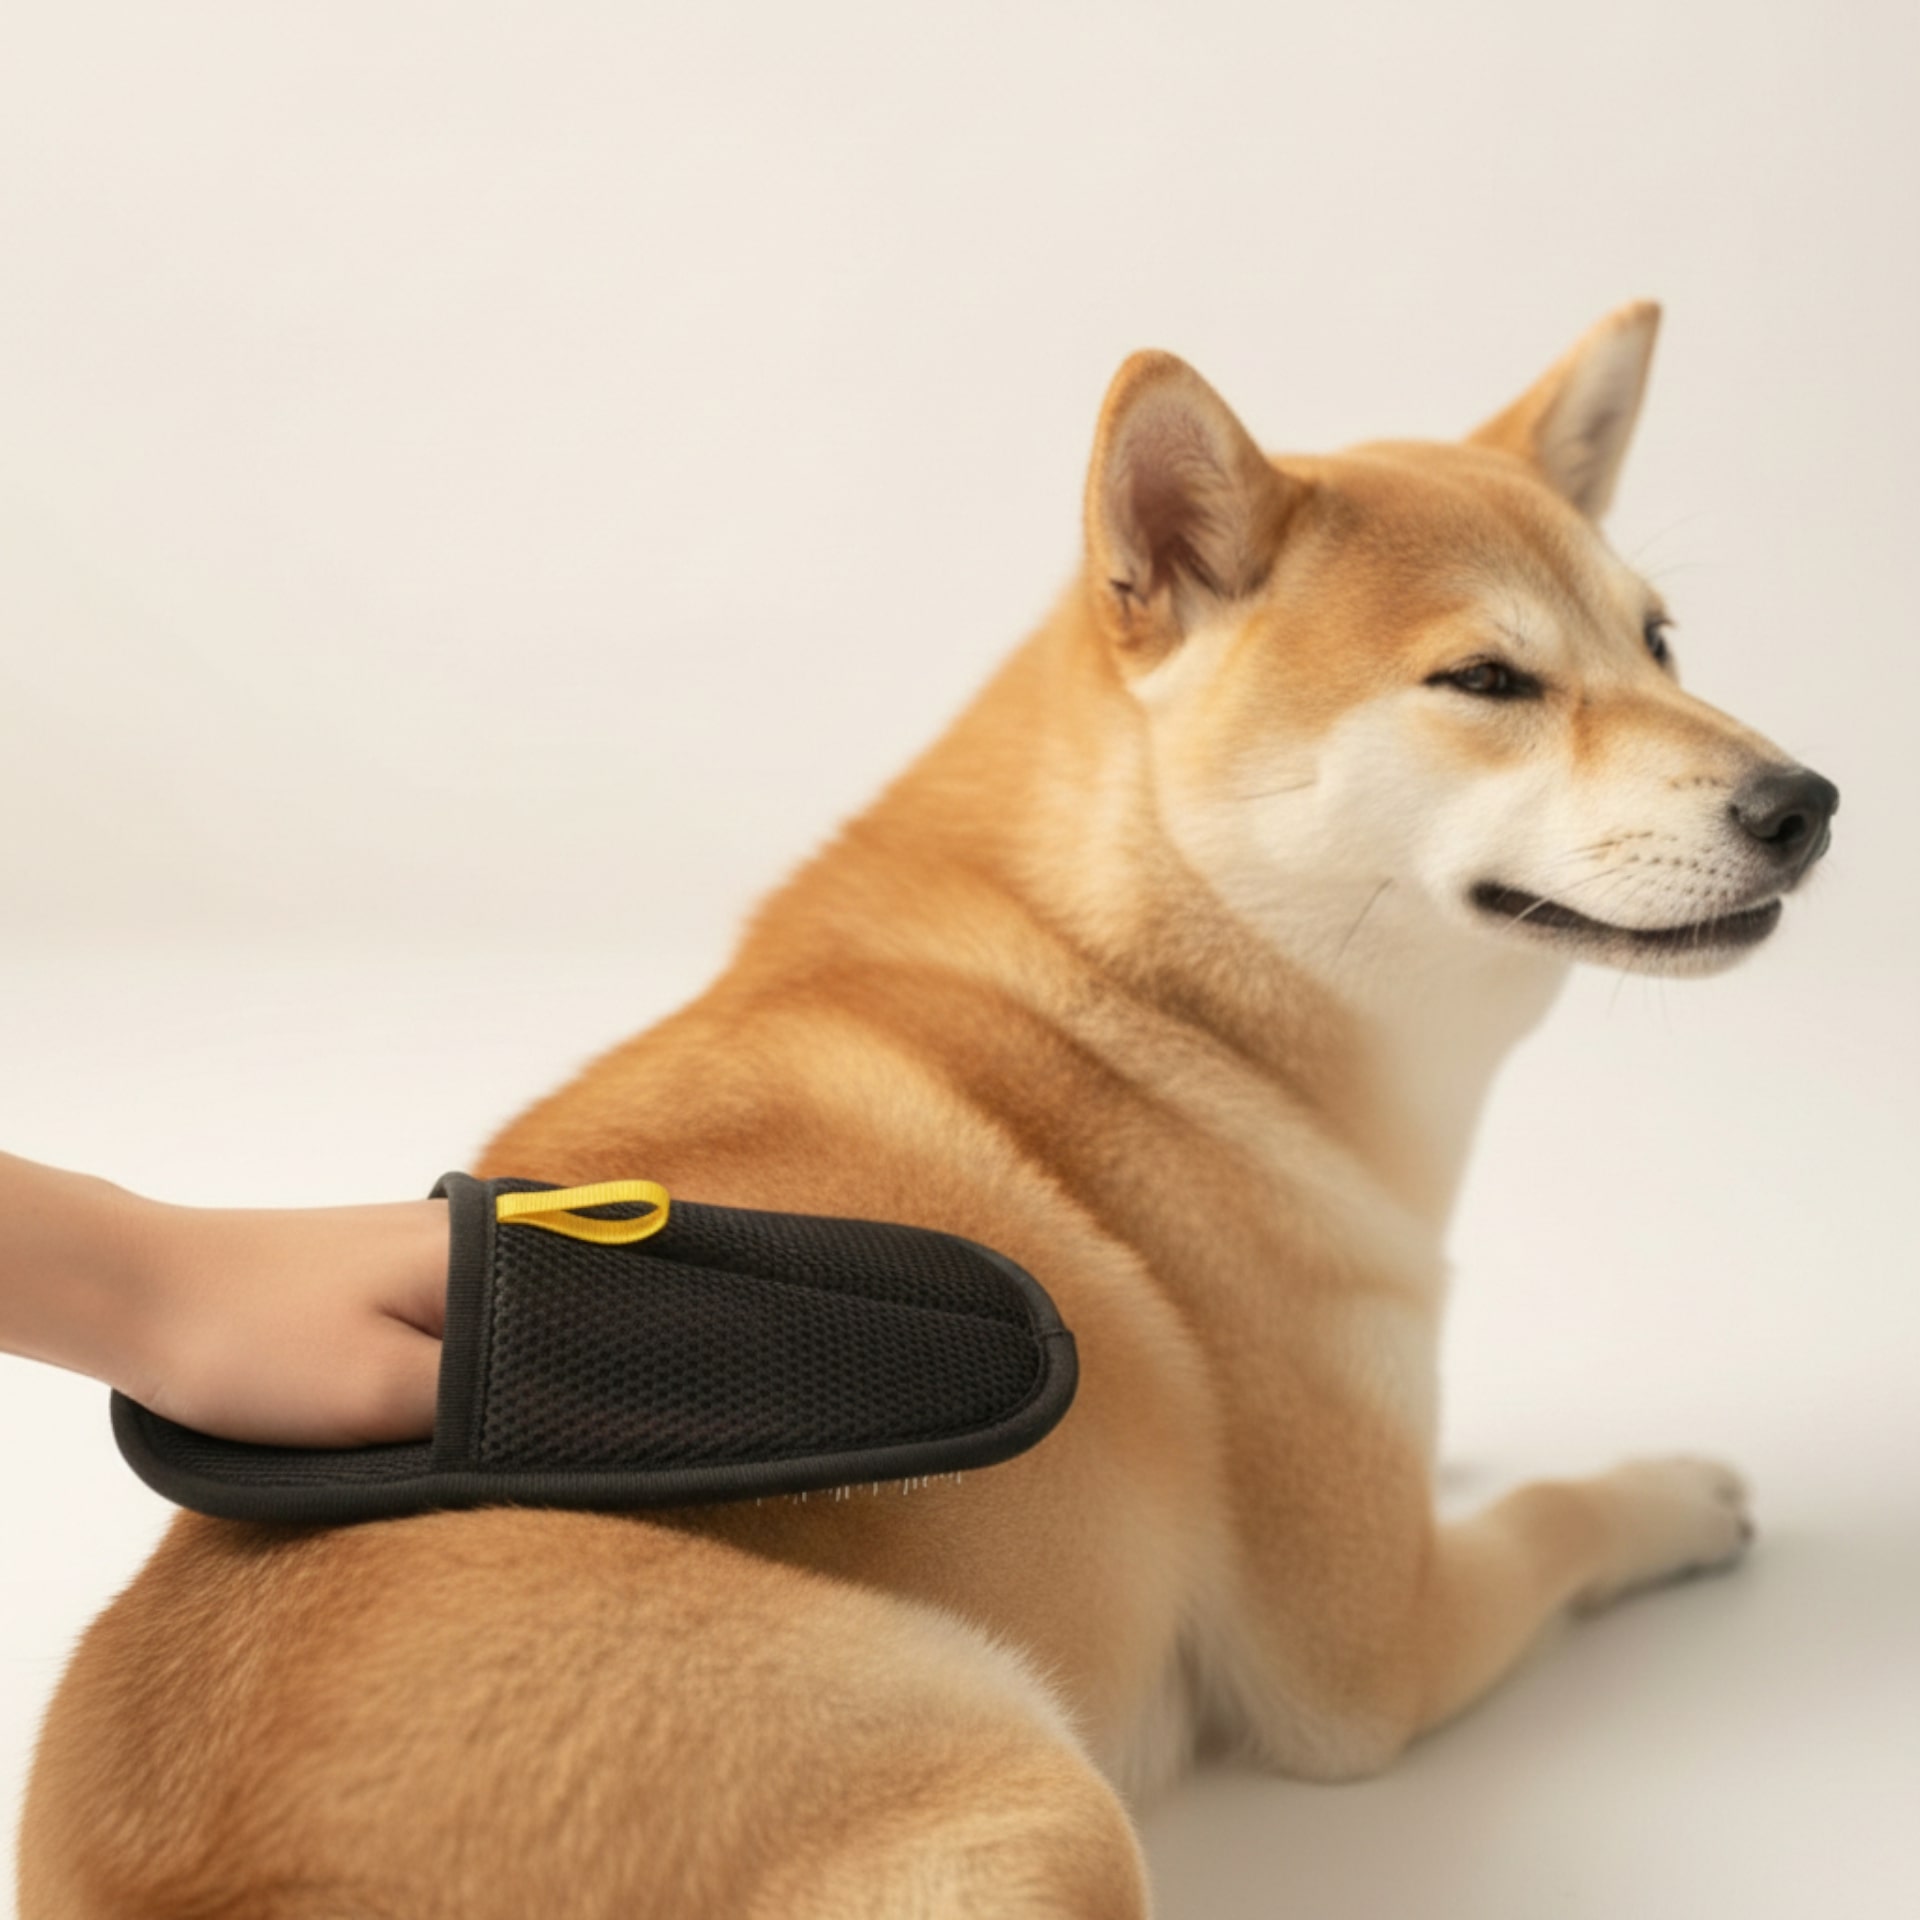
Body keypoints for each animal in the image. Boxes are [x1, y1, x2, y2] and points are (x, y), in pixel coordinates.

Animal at [21, 303, 1837, 1918]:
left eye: (1658, 641)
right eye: (1485, 680)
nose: (1808, 799)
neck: (1144, 992)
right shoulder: (1372, 1657)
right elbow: (1553, 1522)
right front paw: (1665, 1495)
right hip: (1036, 1793)